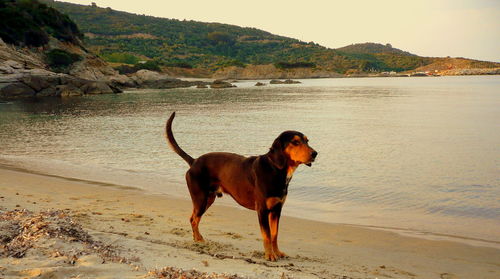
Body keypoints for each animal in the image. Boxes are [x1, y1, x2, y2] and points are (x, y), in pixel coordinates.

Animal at [166, 112, 318, 262]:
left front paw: (277, 252)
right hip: (201, 199)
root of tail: (194, 161)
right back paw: (198, 239)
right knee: (193, 219)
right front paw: (269, 255)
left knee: (194, 219)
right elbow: (267, 235)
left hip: (208, 199)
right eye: (295, 142)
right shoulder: (262, 210)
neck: (275, 169)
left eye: (307, 141)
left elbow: (275, 235)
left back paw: (198, 239)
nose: (315, 153)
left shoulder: (277, 210)